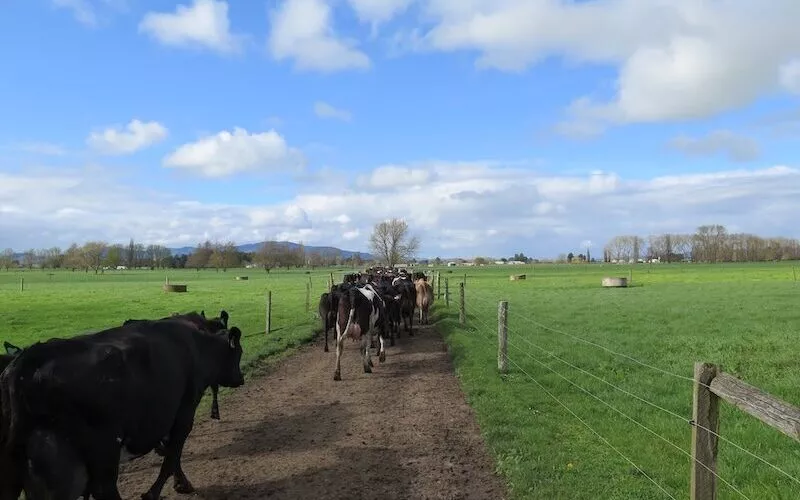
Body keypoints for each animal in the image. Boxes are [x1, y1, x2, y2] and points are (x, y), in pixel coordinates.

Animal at [0, 317, 245, 500]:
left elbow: (169, 453)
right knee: (104, 488)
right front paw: (157, 492)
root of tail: (25, 361)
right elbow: (172, 456)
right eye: (239, 352)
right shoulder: (184, 412)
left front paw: (180, 482)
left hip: (15, 469)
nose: (241, 379)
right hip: (103, 448)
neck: (199, 345)